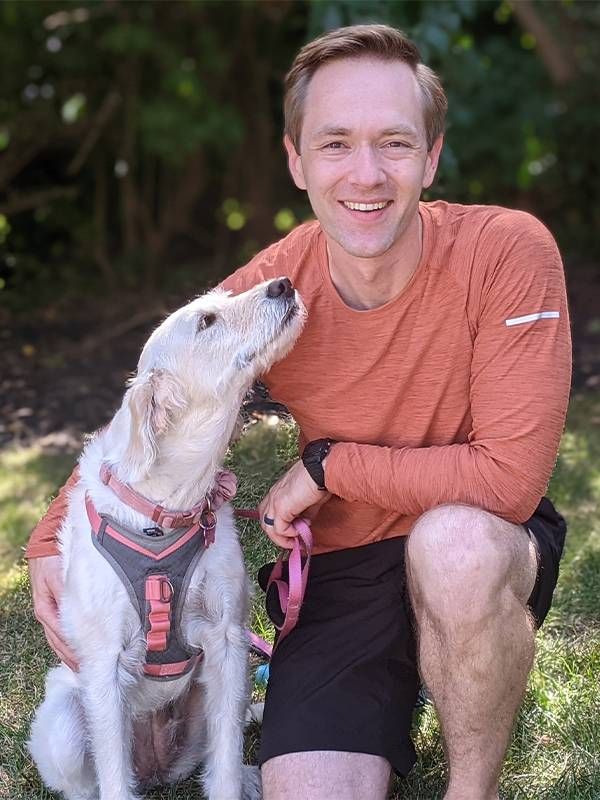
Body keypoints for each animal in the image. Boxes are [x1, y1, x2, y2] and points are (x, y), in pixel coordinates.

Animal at [28, 276, 304, 800]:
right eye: (207, 321)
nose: (283, 284)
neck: (165, 510)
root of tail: (157, 771)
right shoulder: (105, 666)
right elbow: (114, 778)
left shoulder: (226, 639)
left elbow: (223, 761)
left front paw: (234, 781)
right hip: (65, 727)